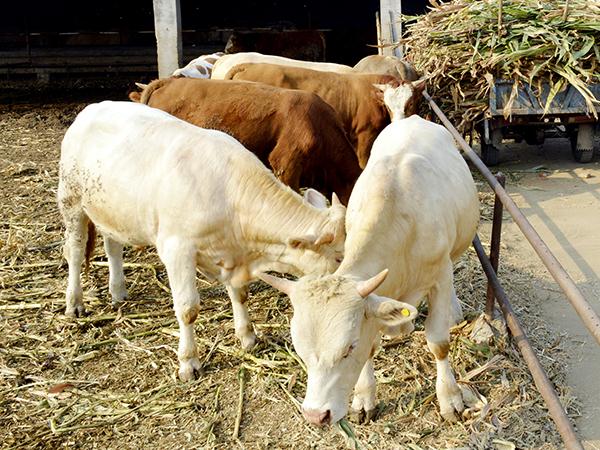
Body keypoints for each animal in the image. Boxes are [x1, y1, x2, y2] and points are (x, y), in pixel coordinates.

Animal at [59, 101, 346, 380]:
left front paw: (248, 337)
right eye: (339, 256)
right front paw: (189, 362)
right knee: (74, 252)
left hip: (113, 211)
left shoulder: (232, 254)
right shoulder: (177, 249)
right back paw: (74, 303)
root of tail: (90, 109)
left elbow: (240, 294)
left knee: (113, 246)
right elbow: (188, 308)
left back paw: (118, 290)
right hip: (71, 202)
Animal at [260, 81, 480, 426]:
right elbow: (372, 346)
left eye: (348, 348)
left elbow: (438, 342)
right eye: (299, 348)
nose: (316, 415)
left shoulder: (439, 275)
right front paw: (364, 397)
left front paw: (450, 397)